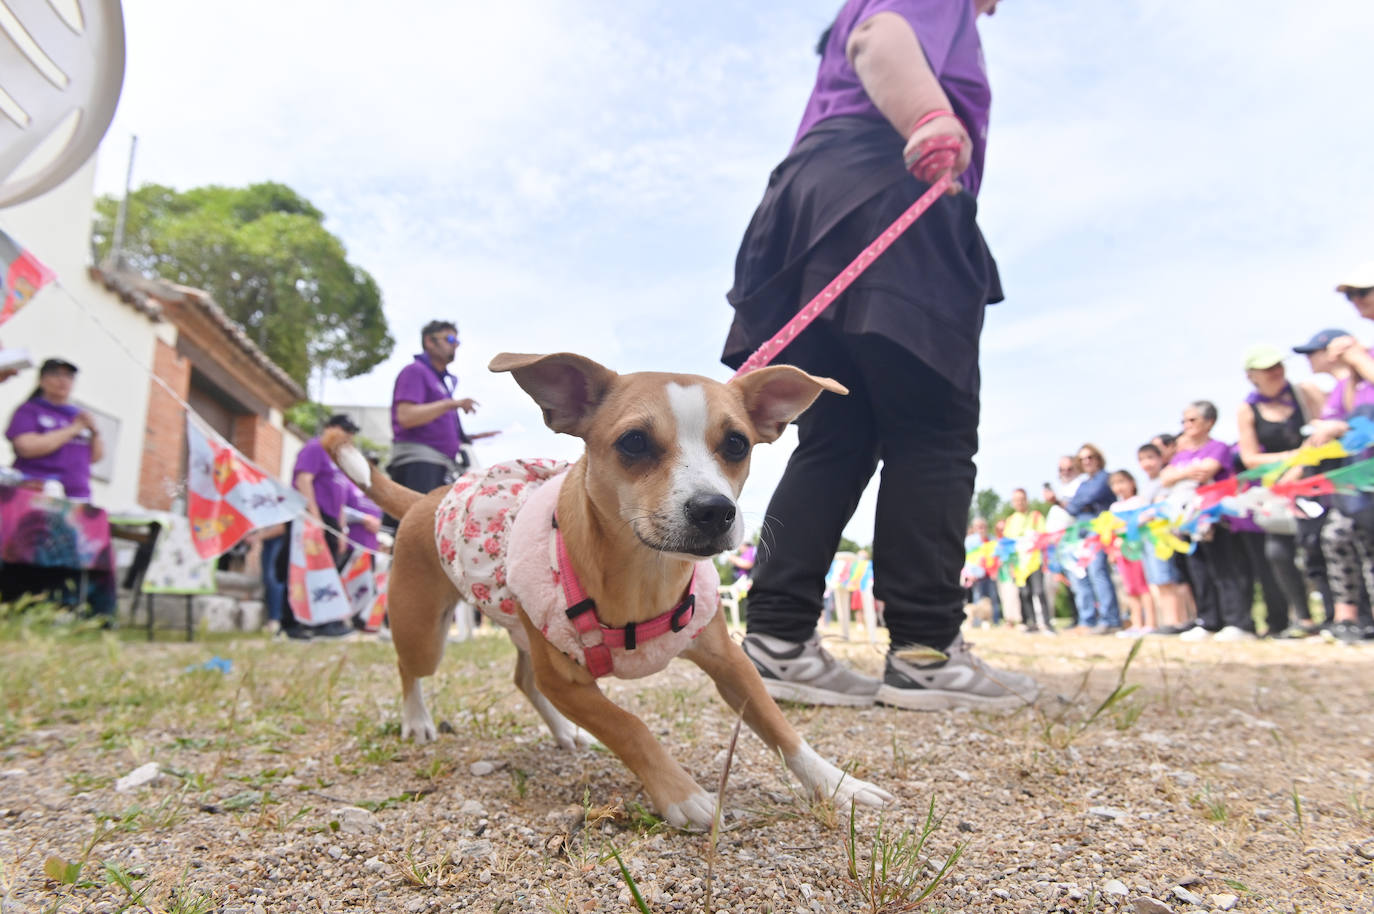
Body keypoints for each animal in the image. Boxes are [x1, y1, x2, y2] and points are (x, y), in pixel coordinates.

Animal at [327, 351, 895, 830]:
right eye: (634, 442)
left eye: (736, 443)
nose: (715, 510)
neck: (646, 573)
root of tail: (427, 499)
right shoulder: (570, 681)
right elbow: (628, 726)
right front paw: (682, 794)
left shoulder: (730, 662)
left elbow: (780, 727)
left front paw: (837, 784)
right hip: (426, 630)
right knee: (412, 669)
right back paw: (417, 720)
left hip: (524, 629)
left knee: (524, 680)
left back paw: (564, 732)